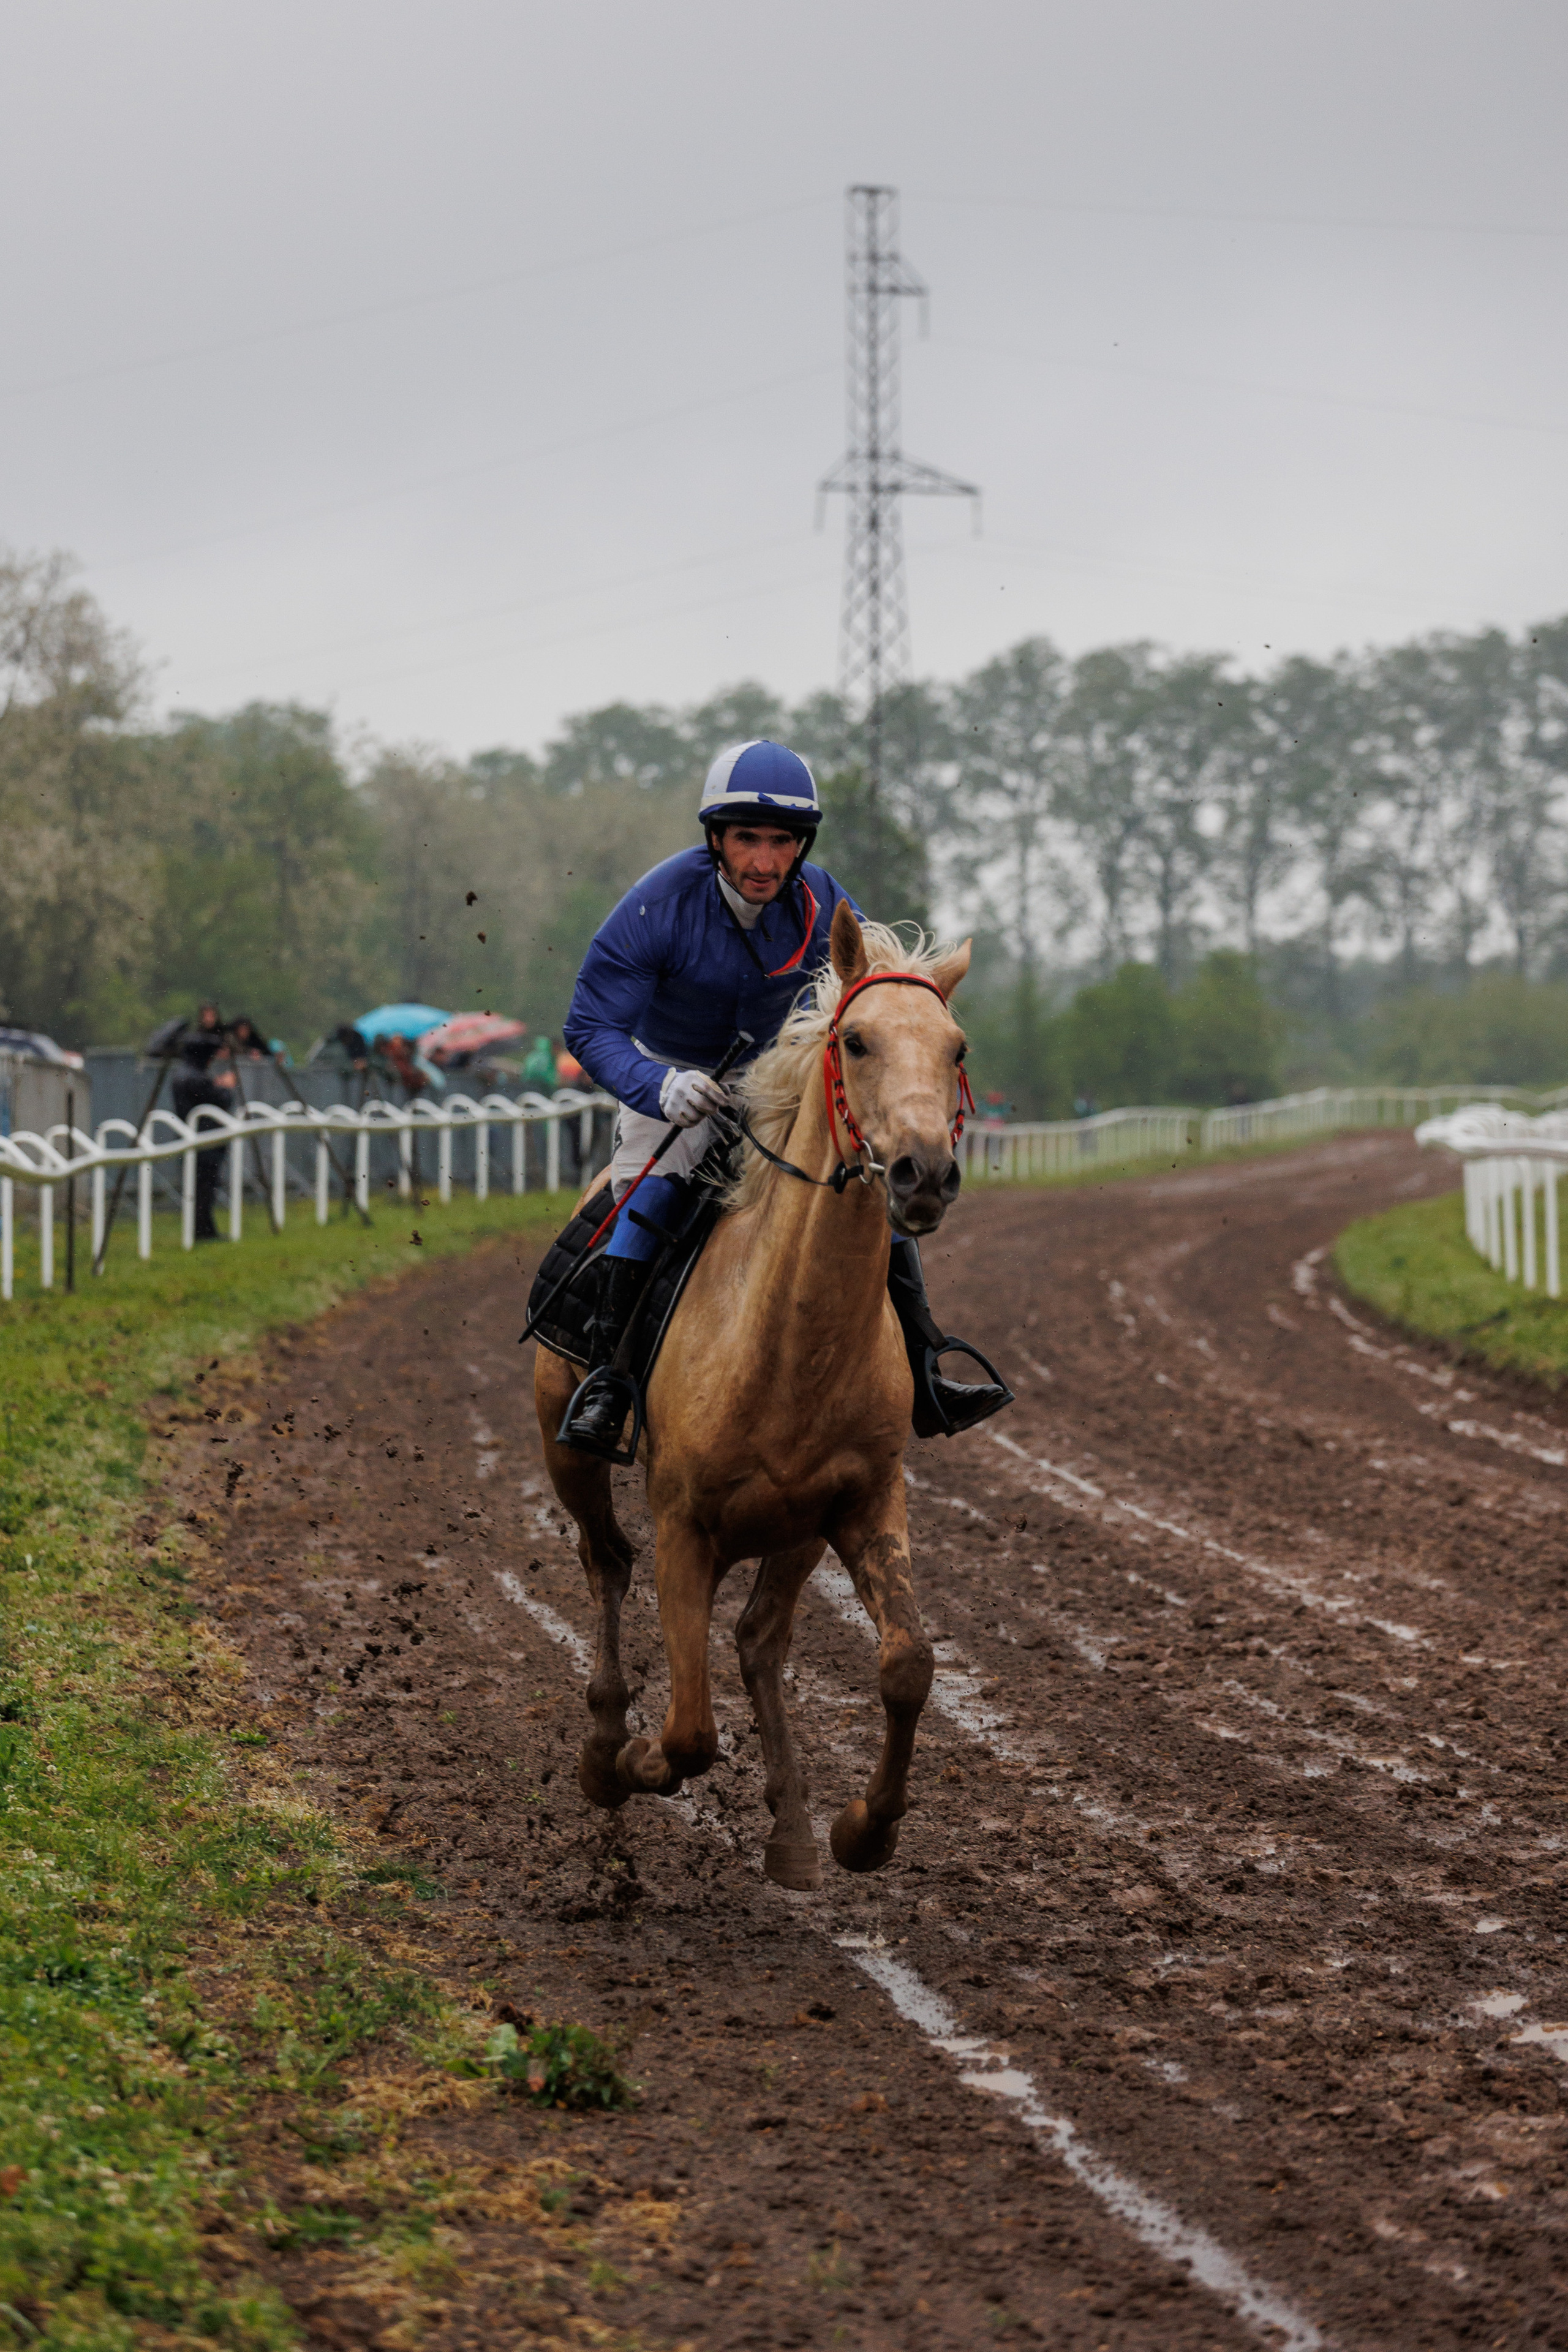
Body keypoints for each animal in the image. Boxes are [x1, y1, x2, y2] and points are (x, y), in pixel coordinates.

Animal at [532, 901, 972, 1890]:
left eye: (956, 1047)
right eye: (855, 1040)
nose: (924, 1173)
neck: (787, 1347)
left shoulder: (864, 1502)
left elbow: (909, 1666)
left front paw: (862, 1831)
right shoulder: (684, 1528)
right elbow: (690, 1732)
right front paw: (630, 1759)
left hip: (794, 1529)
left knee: (759, 1640)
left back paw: (794, 1829)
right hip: (565, 1447)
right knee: (606, 1562)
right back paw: (604, 1745)